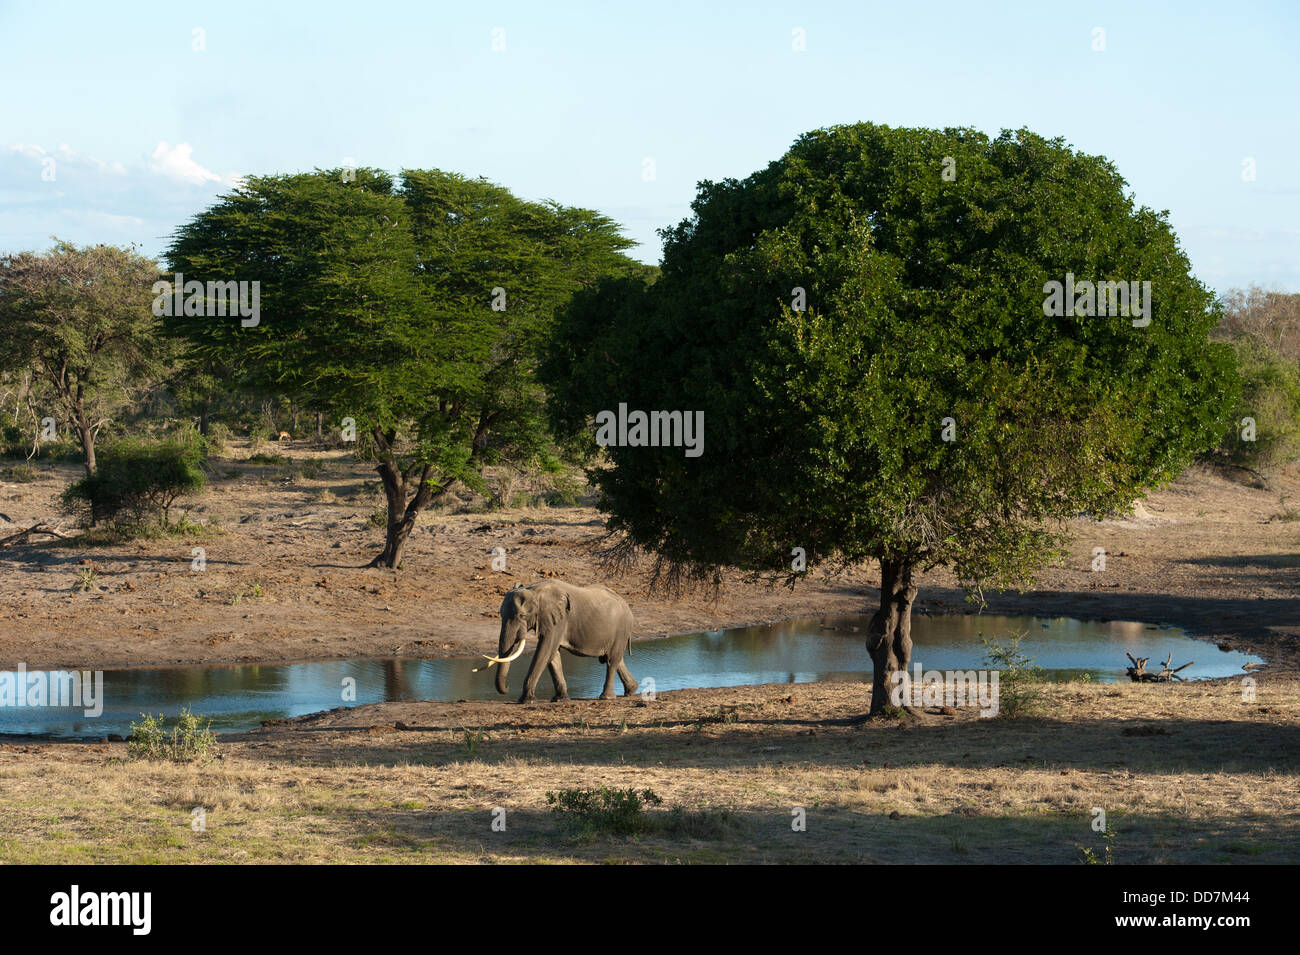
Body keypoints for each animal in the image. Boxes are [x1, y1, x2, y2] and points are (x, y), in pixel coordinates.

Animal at [478, 579, 639, 706]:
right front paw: (560, 699)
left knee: (612, 660)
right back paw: (631, 690)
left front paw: (525, 700)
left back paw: (606, 698)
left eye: (522, 616)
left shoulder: (559, 620)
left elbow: (545, 651)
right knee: (614, 659)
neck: (535, 591)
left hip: (622, 628)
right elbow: (553, 656)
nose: (508, 687)